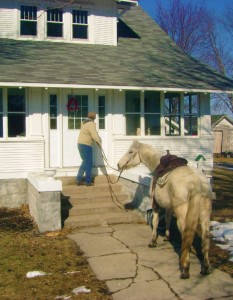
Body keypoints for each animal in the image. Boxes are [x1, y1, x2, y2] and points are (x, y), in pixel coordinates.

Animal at [117, 141, 212, 278]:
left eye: (130, 151)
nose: (118, 164)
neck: (156, 163)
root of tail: (197, 183)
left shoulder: (156, 205)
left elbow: (155, 222)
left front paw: (153, 242)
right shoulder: (169, 207)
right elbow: (167, 220)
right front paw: (167, 237)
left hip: (183, 216)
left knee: (186, 235)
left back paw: (185, 269)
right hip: (205, 215)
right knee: (206, 238)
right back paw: (205, 268)